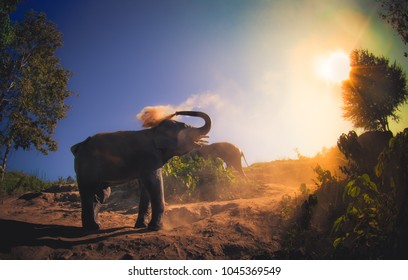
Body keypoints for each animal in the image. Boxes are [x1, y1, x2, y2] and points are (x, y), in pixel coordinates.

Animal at [71, 110, 210, 231]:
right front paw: (155, 228)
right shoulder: (149, 157)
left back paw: (96, 226)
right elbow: (154, 183)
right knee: (89, 191)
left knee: (102, 194)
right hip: (86, 165)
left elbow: (145, 187)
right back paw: (91, 228)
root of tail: (78, 147)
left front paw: (141, 226)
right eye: (186, 127)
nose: (176, 112)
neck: (154, 131)